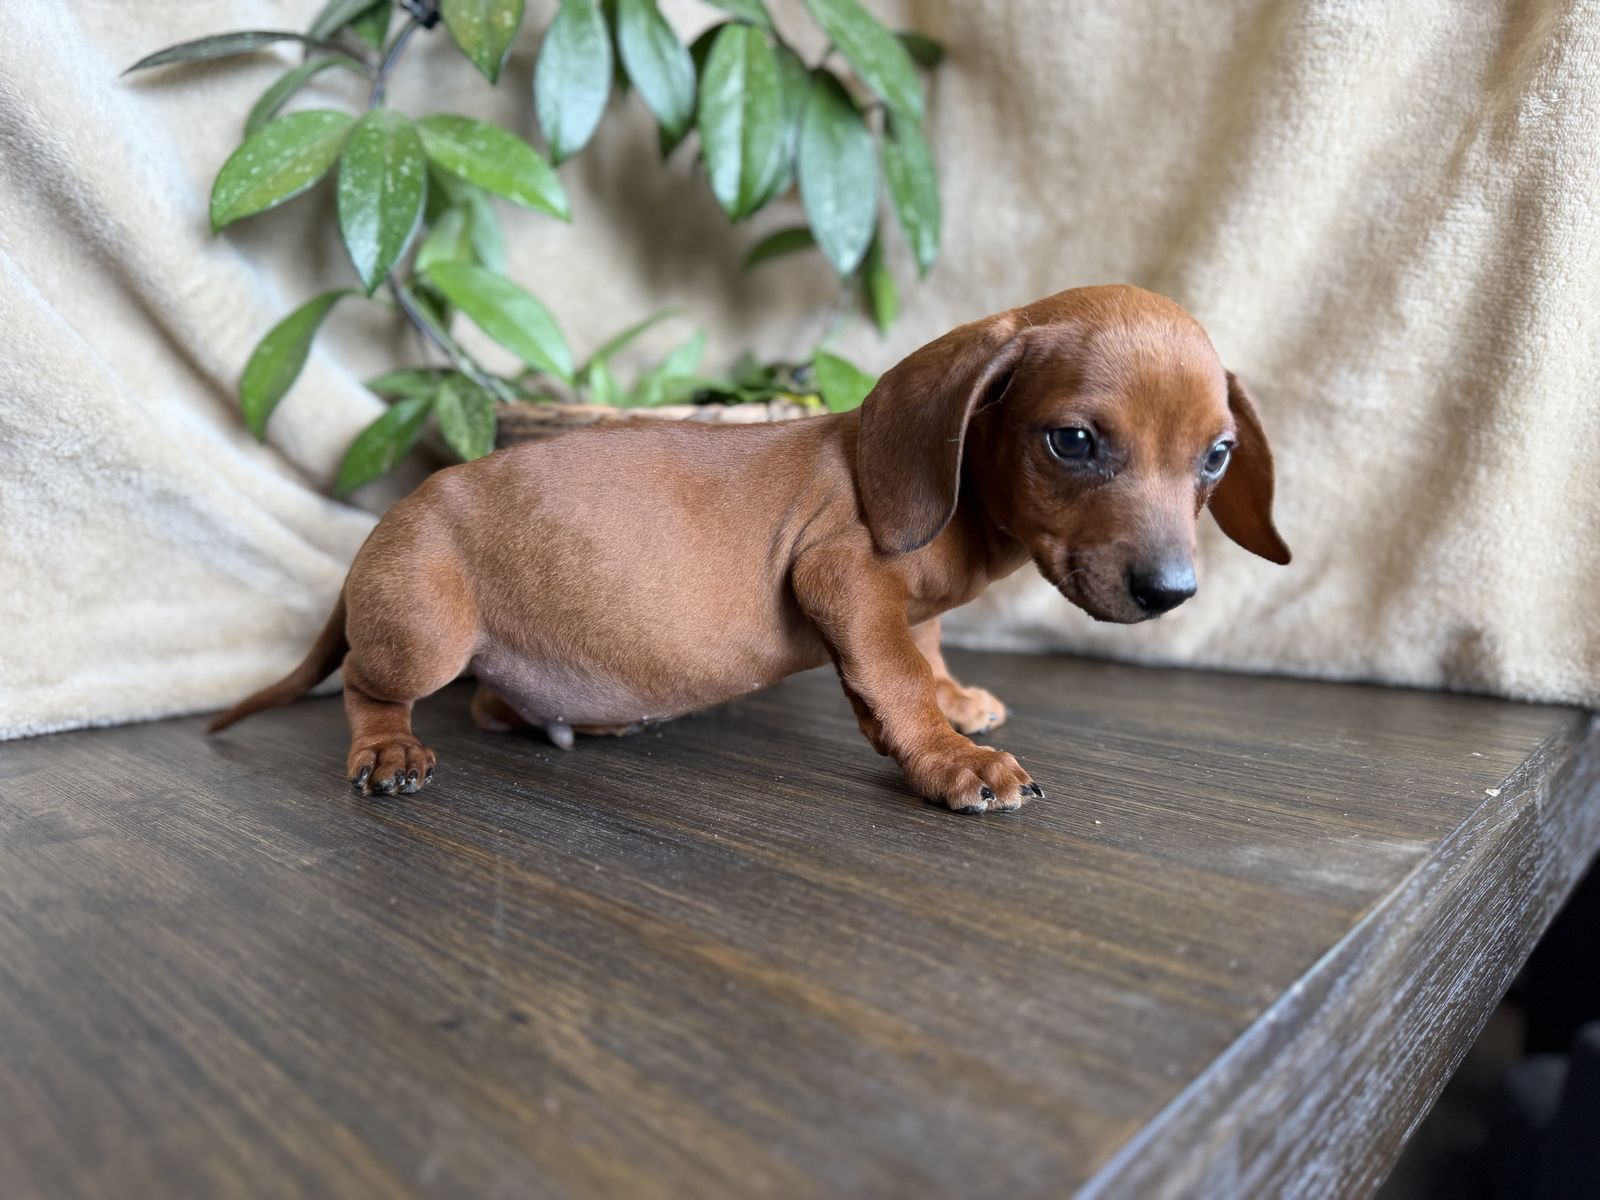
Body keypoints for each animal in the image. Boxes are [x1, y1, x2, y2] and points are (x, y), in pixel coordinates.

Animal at [211, 285, 1290, 813]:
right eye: (1071, 441)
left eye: (1217, 455)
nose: (1171, 593)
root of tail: (387, 526)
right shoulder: (841, 574)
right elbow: (893, 676)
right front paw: (950, 758)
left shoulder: (907, 603)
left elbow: (924, 649)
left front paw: (955, 702)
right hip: (424, 630)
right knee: (370, 686)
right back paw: (387, 747)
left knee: (488, 701)